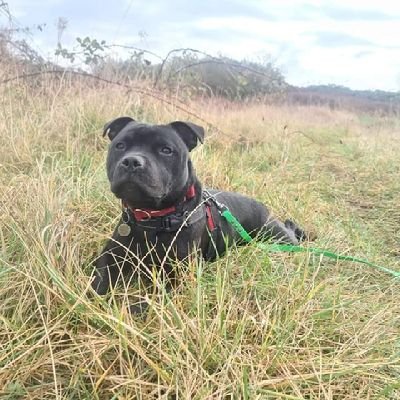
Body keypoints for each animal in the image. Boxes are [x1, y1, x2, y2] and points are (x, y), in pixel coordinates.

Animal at [91, 117, 306, 302]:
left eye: (166, 150)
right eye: (120, 145)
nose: (132, 161)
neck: (152, 218)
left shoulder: (179, 275)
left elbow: (148, 303)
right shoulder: (109, 258)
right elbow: (96, 285)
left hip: (277, 237)